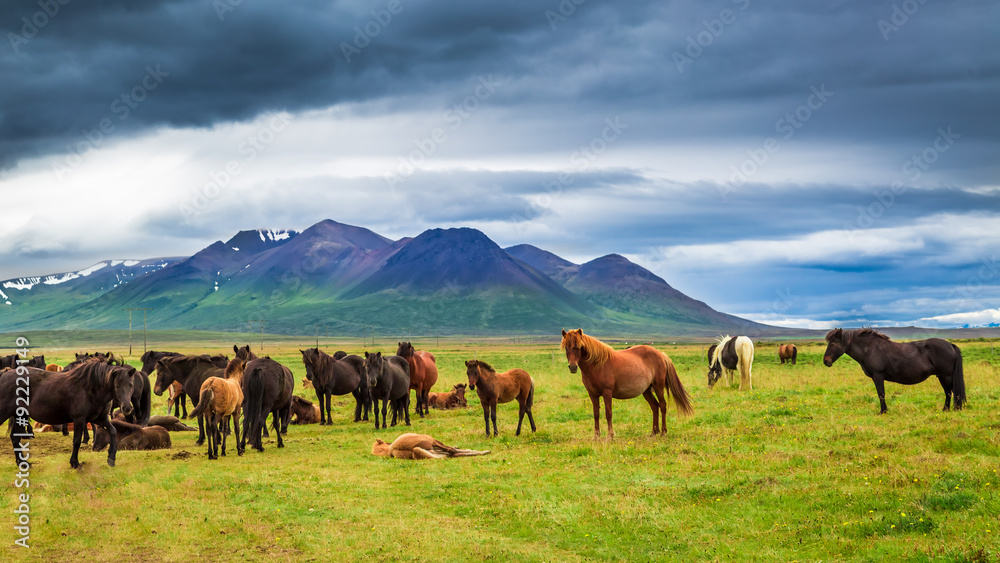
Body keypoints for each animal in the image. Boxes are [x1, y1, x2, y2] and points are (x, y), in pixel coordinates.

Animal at [0, 360, 135, 470]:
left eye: (131, 385)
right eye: (116, 385)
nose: (127, 408)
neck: (90, 389)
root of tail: (4, 376)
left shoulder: (100, 418)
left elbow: (113, 431)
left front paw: (111, 458)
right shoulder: (79, 420)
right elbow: (77, 441)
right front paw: (75, 463)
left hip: (20, 416)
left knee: (15, 438)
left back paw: (23, 463)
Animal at [560, 328, 692, 438]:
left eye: (579, 347)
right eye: (566, 347)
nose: (573, 367)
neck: (597, 365)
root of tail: (661, 355)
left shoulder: (607, 393)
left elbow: (608, 413)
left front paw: (610, 436)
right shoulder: (592, 394)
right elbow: (596, 414)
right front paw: (596, 437)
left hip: (658, 387)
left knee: (663, 406)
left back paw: (663, 432)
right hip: (646, 390)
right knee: (655, 406)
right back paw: (654, 432)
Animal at [824, 326, 964, 414]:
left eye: (833, 343)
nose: (826, 361)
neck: (870, 349)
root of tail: (950, 345)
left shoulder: (878, 376)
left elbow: (881, 394)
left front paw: (883, 411)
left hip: (946, 376)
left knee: (952, 392)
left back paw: (953, 409)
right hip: (941, 376)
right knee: (948, 392)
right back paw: (946, 409)